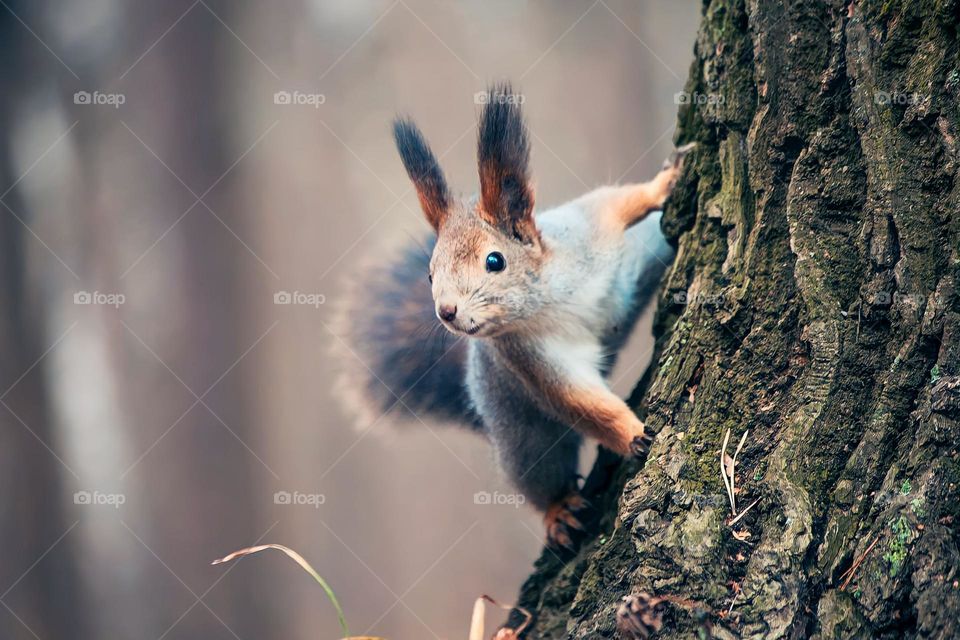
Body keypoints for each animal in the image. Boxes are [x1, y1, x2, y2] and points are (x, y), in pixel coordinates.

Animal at [334, 82, 692, 548]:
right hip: (524, 442)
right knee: (540, 478)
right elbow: (581, 401)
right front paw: (631, 434)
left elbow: (617, 201)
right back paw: (559, 511)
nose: (446, 311)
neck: (550, 300)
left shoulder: (587, 230)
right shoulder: (531, 358)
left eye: (495, 260)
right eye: (430, 274)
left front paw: (665, 182)